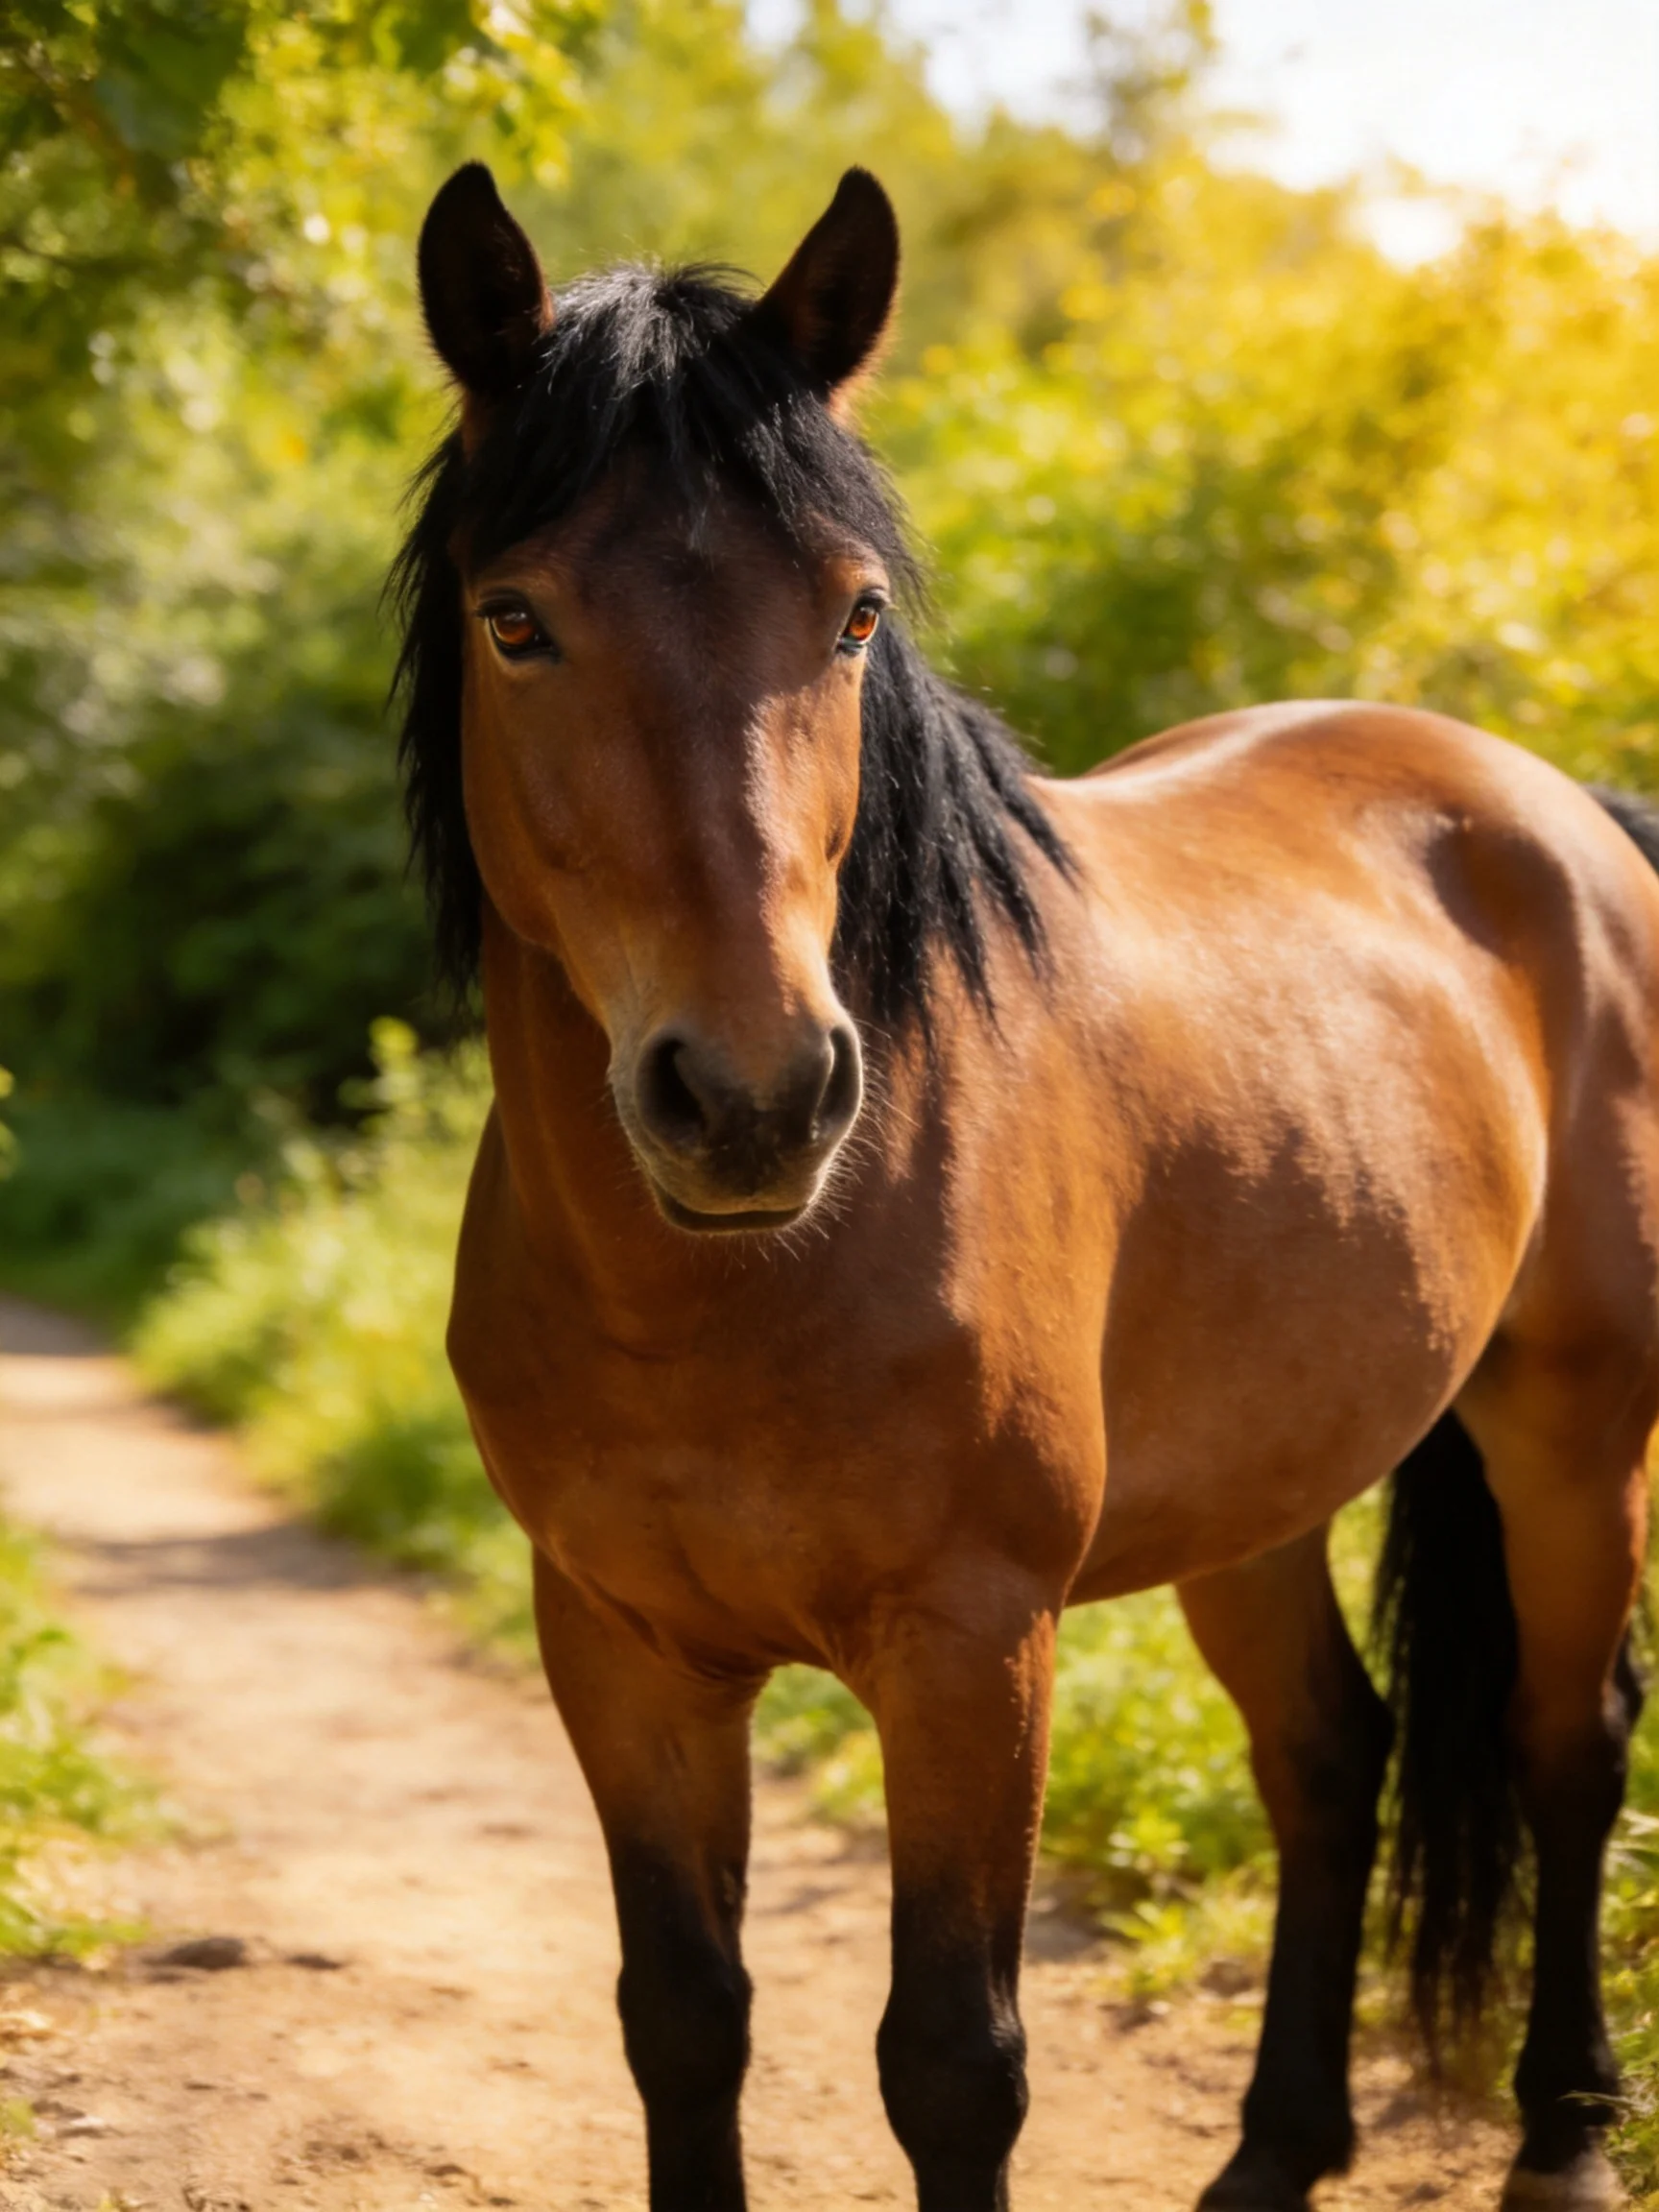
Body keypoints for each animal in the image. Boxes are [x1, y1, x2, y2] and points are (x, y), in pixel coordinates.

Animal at [394, 161, 1659, 2212]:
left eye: (851, 615)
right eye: (515, 619)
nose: (752, 1097)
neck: (731, 1285)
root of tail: (1550, 811)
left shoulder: (969, 1649)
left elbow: (949, 2063)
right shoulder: (620, 1650)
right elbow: (682, 2020)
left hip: (1568, 1423)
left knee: (1564, 1738)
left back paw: (1558, 2136)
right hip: (1259, 1486)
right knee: (1330, 1754)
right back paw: (1274, 2150)